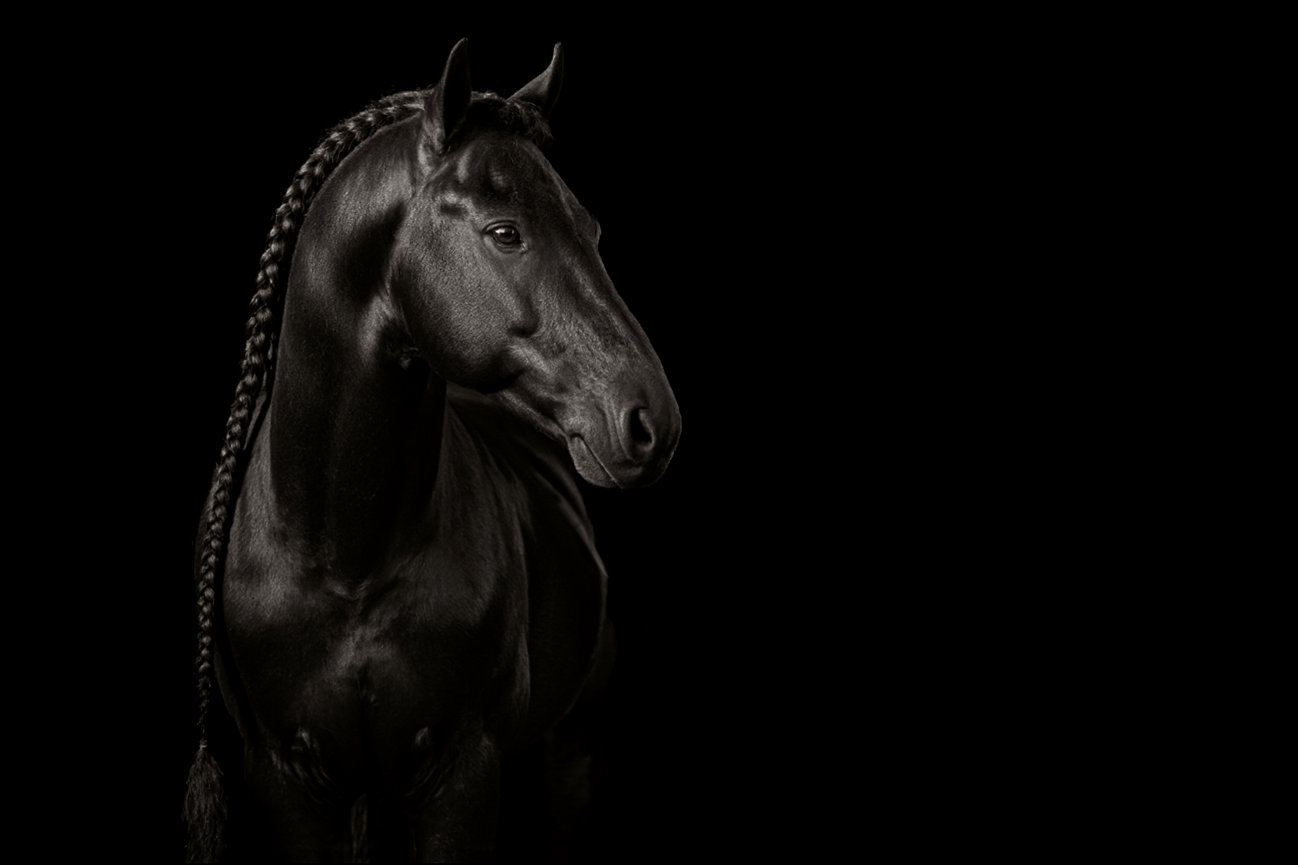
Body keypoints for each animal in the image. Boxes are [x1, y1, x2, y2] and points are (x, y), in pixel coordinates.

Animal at [183, 39, 681, 862]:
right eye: (506, 232)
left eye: (592, 229)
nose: (652, 421)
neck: (344, 554)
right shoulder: (286, 782)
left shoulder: (461, 778)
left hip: (574, 742)